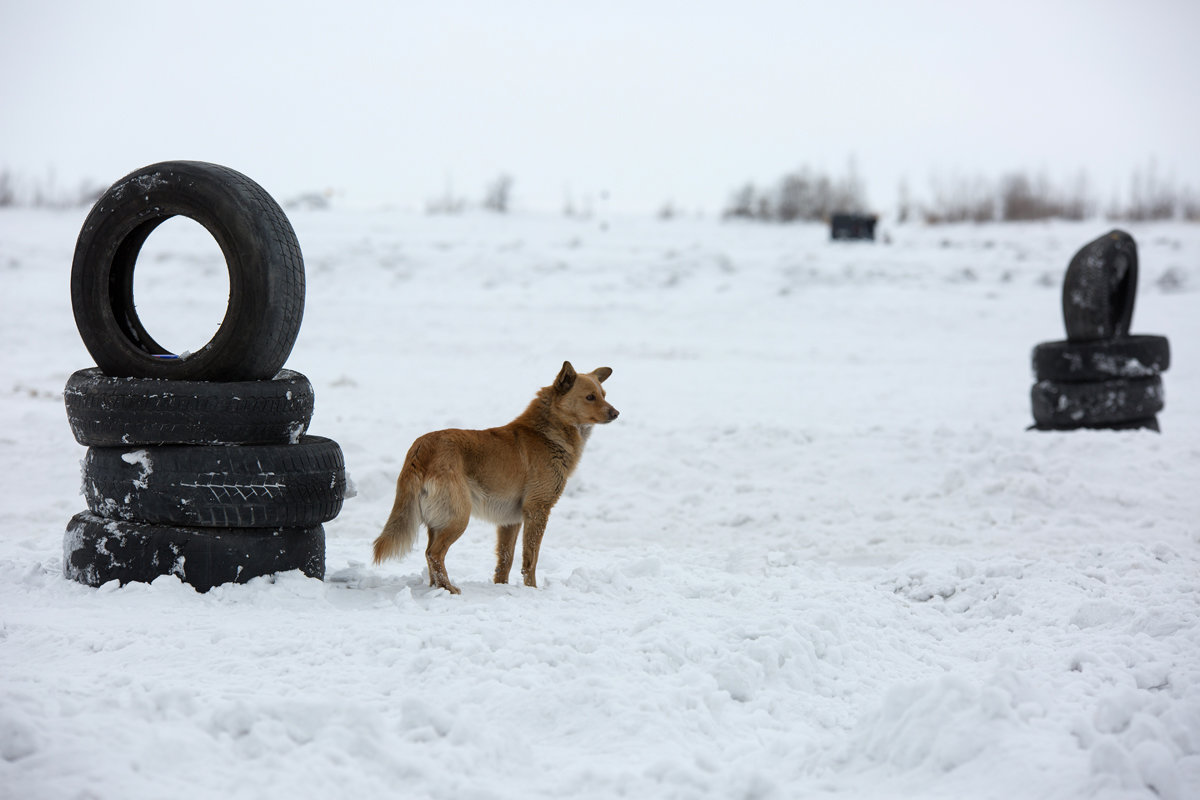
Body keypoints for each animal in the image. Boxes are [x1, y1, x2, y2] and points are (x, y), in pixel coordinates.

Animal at [372, 362, 619, 594]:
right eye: (590, 397)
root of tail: (421, 448)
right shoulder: (537, 509)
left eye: (604, 395)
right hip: (458, 517)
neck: (548, 432)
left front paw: (501, 586)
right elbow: (530, 559)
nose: (616, 413)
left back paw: (436, 588)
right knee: (434, 554)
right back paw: (449, 589)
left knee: (428, 554)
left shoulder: (510, 520)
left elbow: (505, 560)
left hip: (439, 520)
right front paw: (532, 590)